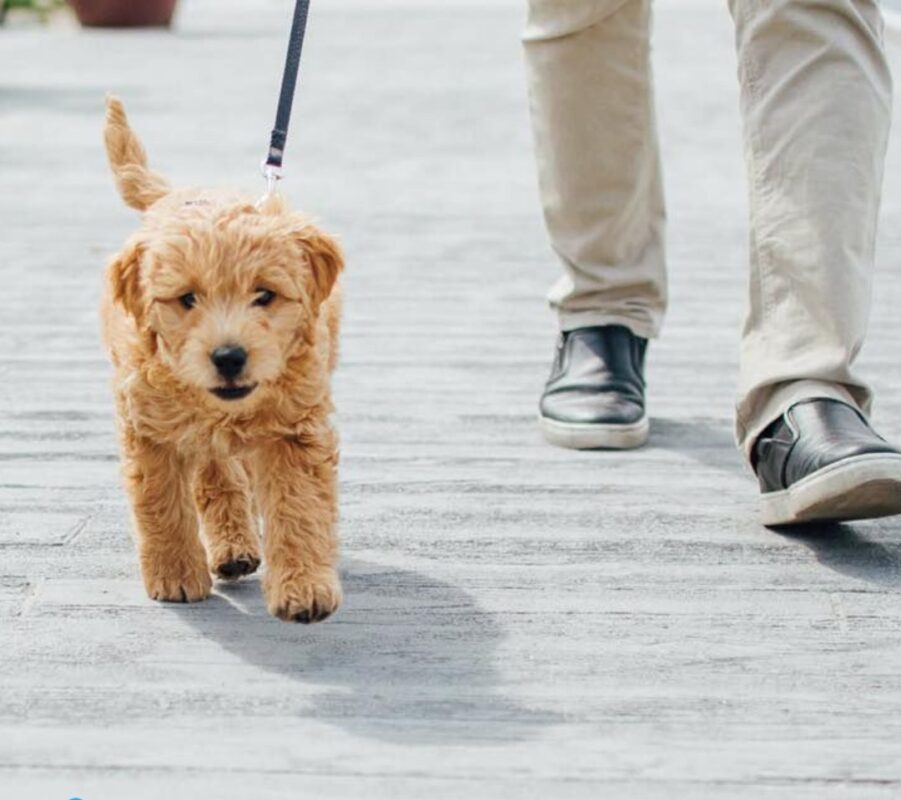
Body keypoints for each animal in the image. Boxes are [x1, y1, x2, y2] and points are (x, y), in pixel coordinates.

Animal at [100, 97, 342, 624]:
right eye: (187, 299)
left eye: (265, 295)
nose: (229, 357)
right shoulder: (147, 427)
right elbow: (160, 501)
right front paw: (174, 575)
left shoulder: (297, 429)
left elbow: (300, 507)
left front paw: (305, 587)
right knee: (216, 475)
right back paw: (231, 548)